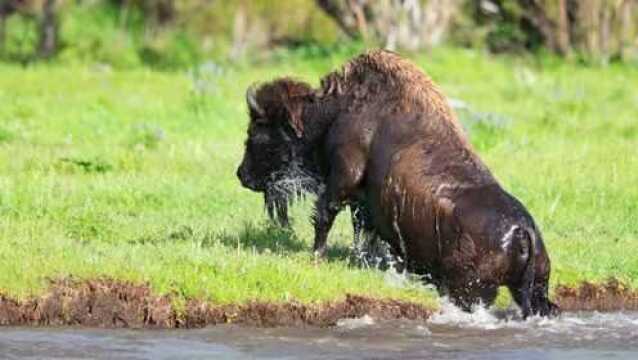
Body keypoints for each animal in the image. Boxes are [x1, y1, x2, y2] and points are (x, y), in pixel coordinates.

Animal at [236, 49, 560, 316]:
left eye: (255, 133)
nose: (241, 175)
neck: (334, 112)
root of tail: (523, 230)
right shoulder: (362, 201)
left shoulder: (344, 177)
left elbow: (326, 214)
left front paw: (316, 256)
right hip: (536, 286)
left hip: (472, 290)